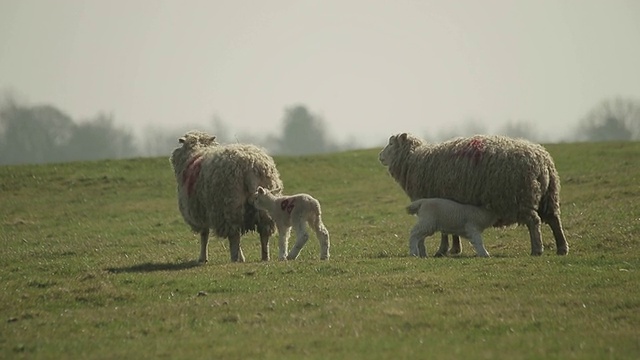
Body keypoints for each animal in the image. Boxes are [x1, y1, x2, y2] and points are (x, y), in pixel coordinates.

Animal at [170, 131, 282, 262]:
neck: (197, 151)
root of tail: (250, 164)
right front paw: (242, 258)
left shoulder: (200, 212)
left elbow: (204, 235)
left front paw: (203, 258)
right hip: (264, 203)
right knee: (263, 233)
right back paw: (265, 257)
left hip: (229, 206)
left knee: (234, 235)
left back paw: (234, 258)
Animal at [378, 132, 568, 256]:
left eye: (391, 143)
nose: (380, 156)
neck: (414, 160)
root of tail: (541, 161)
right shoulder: (450, 200)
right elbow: (450, 229)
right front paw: (455, 249)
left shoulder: (437, 199)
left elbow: (444, 231)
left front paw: (443, 250)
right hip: (549, 196)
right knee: (554, 220)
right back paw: (562, 248)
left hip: (522, 197)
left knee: (534, 222)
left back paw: (537, 249)